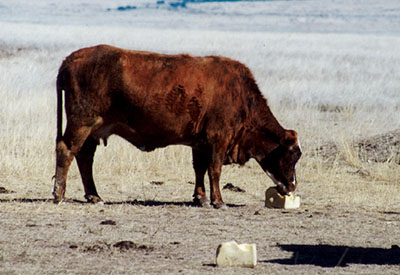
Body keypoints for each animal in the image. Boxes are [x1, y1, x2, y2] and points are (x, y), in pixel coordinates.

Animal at [54, 44, 304, 209]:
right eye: (292, 155)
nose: (292, 186)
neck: (240, 95)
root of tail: (72, 58)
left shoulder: (200, 142)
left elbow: (199, 169)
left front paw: (201, 198)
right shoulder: (218, 139)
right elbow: (214, 169)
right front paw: (218, 201)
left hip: (92, 131)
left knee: (84, 158)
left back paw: (94, 196)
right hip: (82, 124)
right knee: (66, 151)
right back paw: (59, 194)